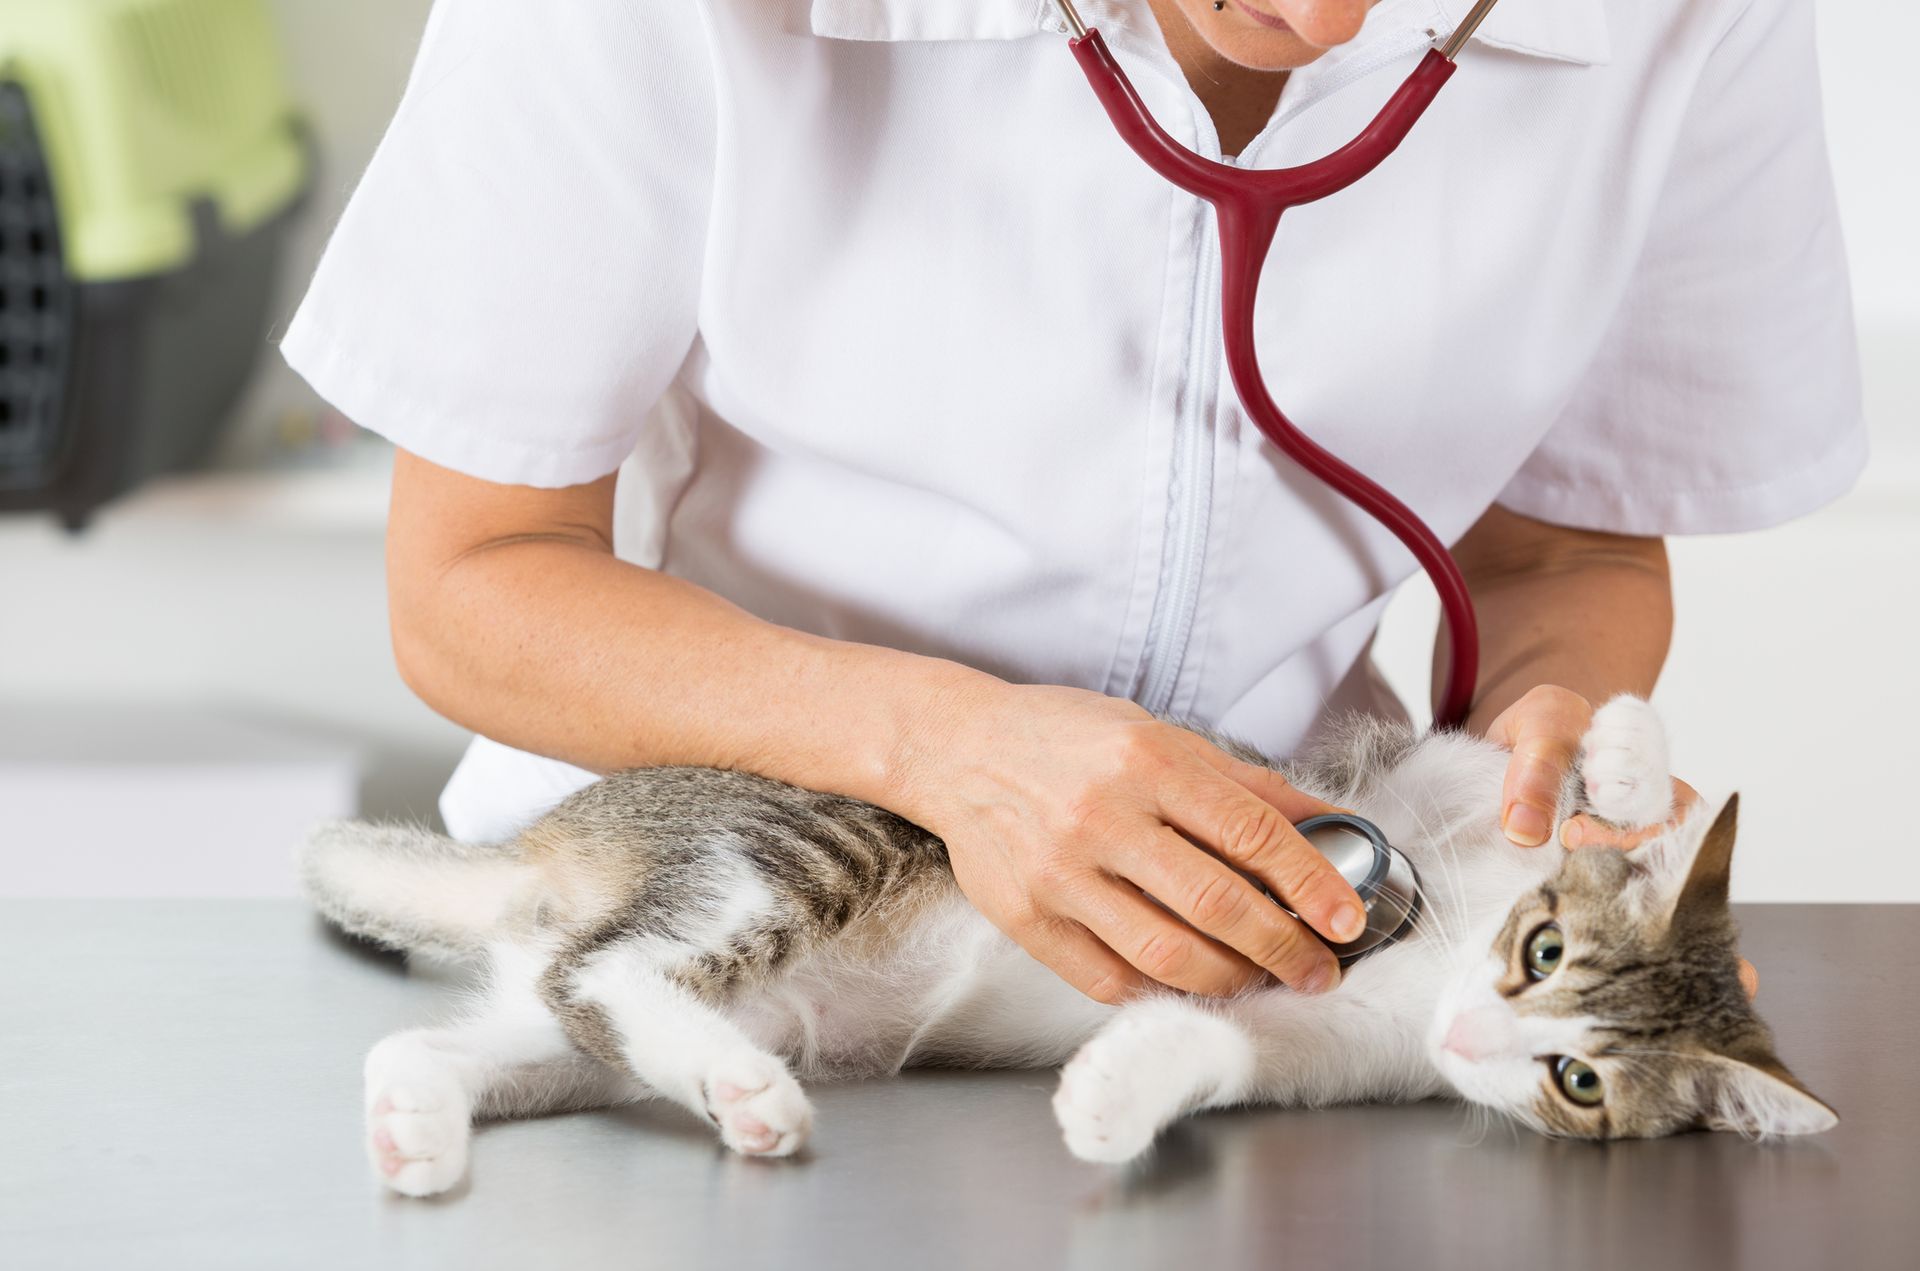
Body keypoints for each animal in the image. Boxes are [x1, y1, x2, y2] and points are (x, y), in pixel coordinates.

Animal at [299, 702, 1827, 1198]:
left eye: (1584, 1083)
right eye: (1544, 946)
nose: (1480, 1033)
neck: (1419, 960)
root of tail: (562, 836)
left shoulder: (1317, 1047)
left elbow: (1213, 1040)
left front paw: (1112, 1095)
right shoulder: (1397, 785)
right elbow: (1495, 754)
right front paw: (1620, 758)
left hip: (585, 1027)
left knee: (493, 1021)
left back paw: (420, 1125)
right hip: (794, 851)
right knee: (607, 970)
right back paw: (745, 1092)